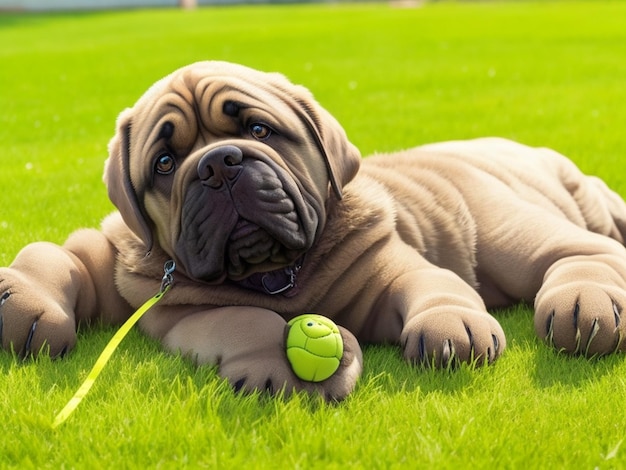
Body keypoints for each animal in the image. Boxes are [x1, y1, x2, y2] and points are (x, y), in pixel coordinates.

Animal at [1, 59, 624, 400]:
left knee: (581, 251)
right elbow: (238, 318)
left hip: (505, 231)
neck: (280, 274)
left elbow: (435, 286)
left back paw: (584, 305)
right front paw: (22, 299)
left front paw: (452, 326)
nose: (217, 164)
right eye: (164, 162)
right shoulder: (170, 303)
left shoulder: (391, 269)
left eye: (259, 129)